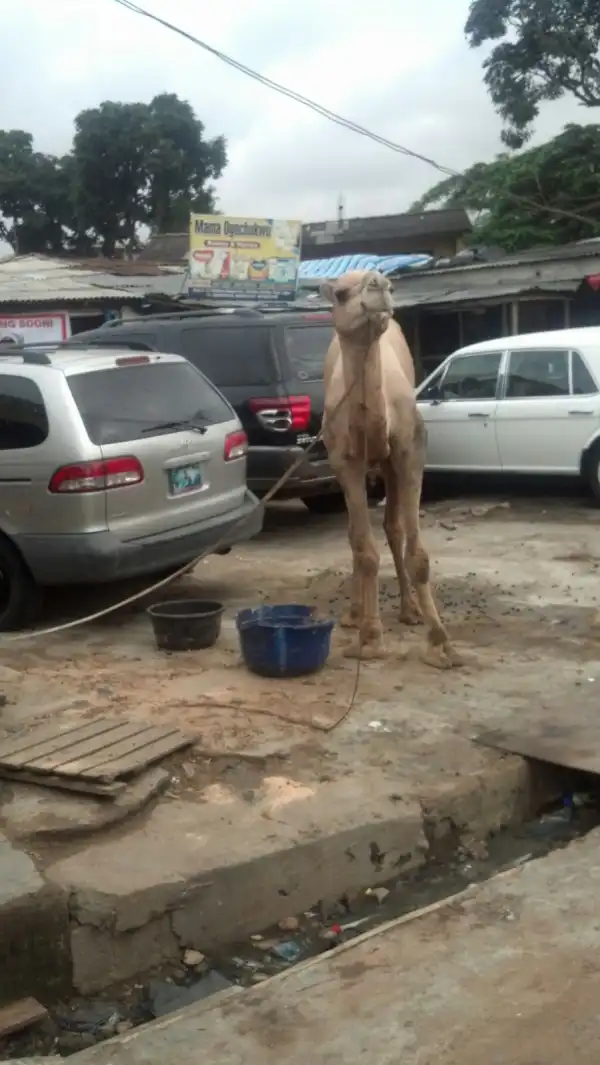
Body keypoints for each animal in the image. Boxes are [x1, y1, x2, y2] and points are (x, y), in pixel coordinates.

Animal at [320, 269, 461, 669]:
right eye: (340, 293)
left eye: (392, 286)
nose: (378, 283)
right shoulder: (345, 462)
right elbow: (365, 550)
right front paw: (369, 639)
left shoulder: (410, 452)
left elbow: (418, 554)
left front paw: (440, 644)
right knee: (356, 535)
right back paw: (355, 614)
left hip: (390, 465)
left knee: (393, 528)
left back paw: (409, 610)